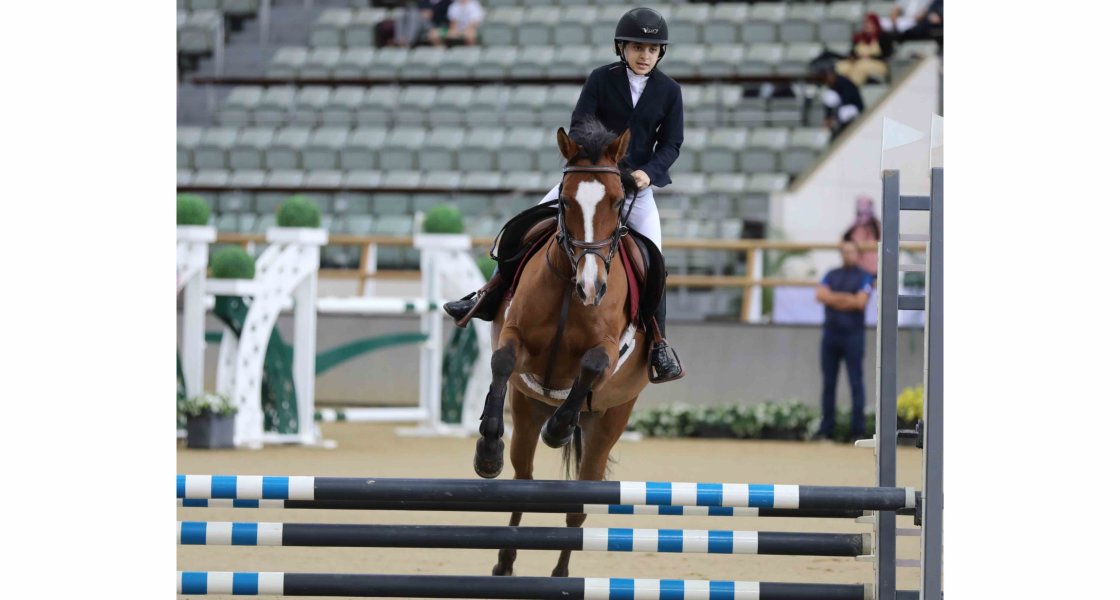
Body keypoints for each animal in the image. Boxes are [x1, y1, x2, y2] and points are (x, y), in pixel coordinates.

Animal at [470, 120, 649, 577]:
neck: (570, 288)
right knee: (523, 481)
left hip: (610, 422)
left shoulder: (607, 351)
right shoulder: (515, 336)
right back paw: (505, 562)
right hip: (528, 406)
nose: (592, 286)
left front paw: (559, 429)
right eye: (566, 202)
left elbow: (593, 364)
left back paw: (562, 575)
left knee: (578, 502)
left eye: (618, 201)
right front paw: (488, 450)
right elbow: (502, 361)